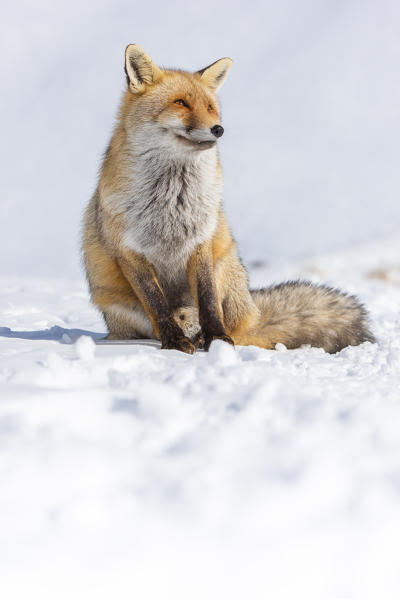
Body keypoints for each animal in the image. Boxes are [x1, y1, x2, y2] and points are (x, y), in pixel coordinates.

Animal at [82, 45, 376, 356]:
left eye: (210, 107)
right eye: (180, 103)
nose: (218, 129)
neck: (172, 198)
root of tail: (253, 312)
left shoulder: (202, 241)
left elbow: (209, 301)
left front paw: (218, 341)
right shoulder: (129, 251)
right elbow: (157, 305)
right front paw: (174, 342)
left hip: (226, 268)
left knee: (233, 326)